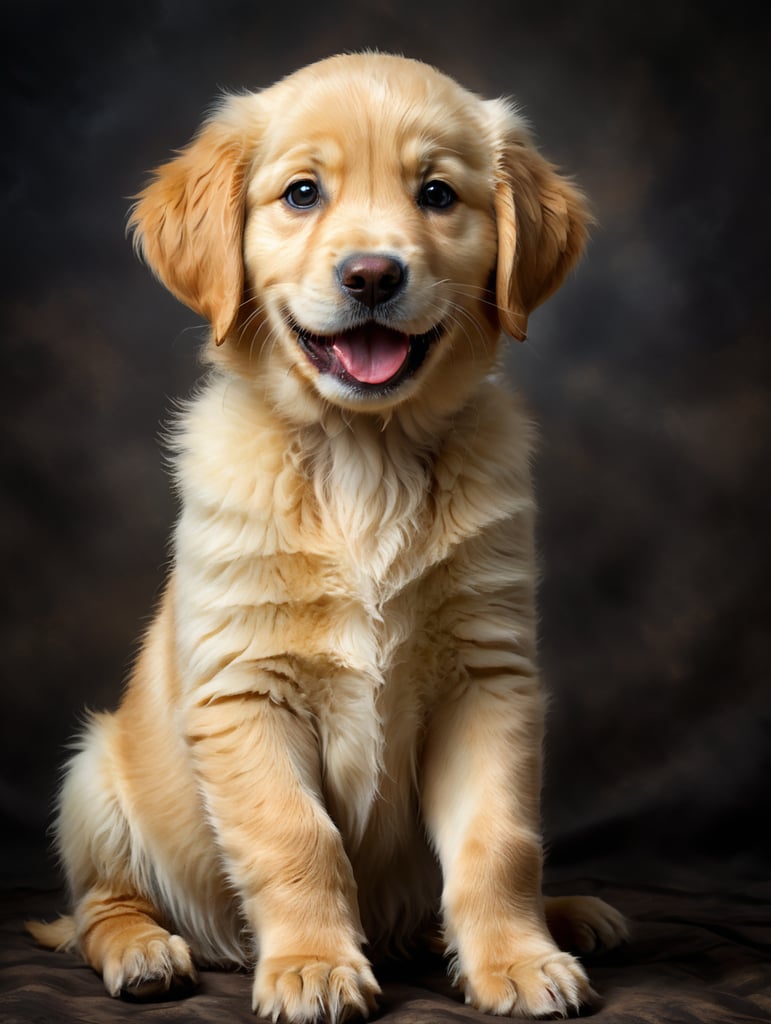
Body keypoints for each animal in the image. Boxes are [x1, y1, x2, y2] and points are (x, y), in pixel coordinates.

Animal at [30, 54, 626, 1015]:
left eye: (436, 194)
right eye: (302, 193)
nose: (373, 275)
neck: (362, 455)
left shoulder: (489, 680)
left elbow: (500, 842)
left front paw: (517, 960)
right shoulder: (245, 690)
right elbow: (295, 838)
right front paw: (312, 965)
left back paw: (567, 916)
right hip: (93, 780)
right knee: (97, 909)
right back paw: (145, 952)